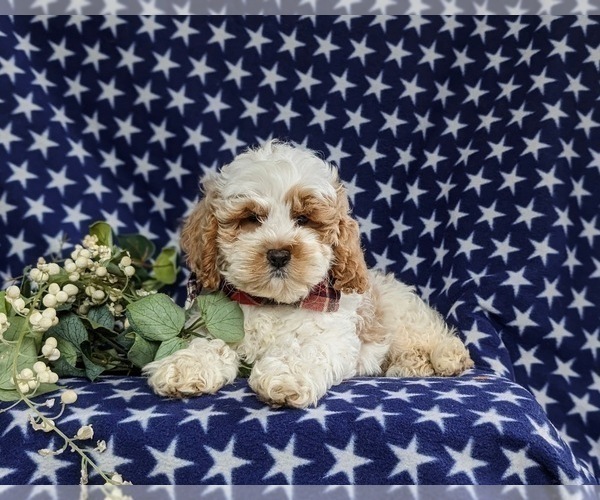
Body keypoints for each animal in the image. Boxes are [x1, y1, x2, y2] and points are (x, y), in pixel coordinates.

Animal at [144, 140, 474, 406]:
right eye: (251, 218)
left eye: (303, 219)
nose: (279, 254)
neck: (272, 303)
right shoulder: (215, 323)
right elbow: (208, 344)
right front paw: (186, 366)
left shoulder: (334, 335)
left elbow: (308, 349)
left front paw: (286, 377)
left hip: (401, 315)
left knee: (435, 336)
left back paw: (442, 359)